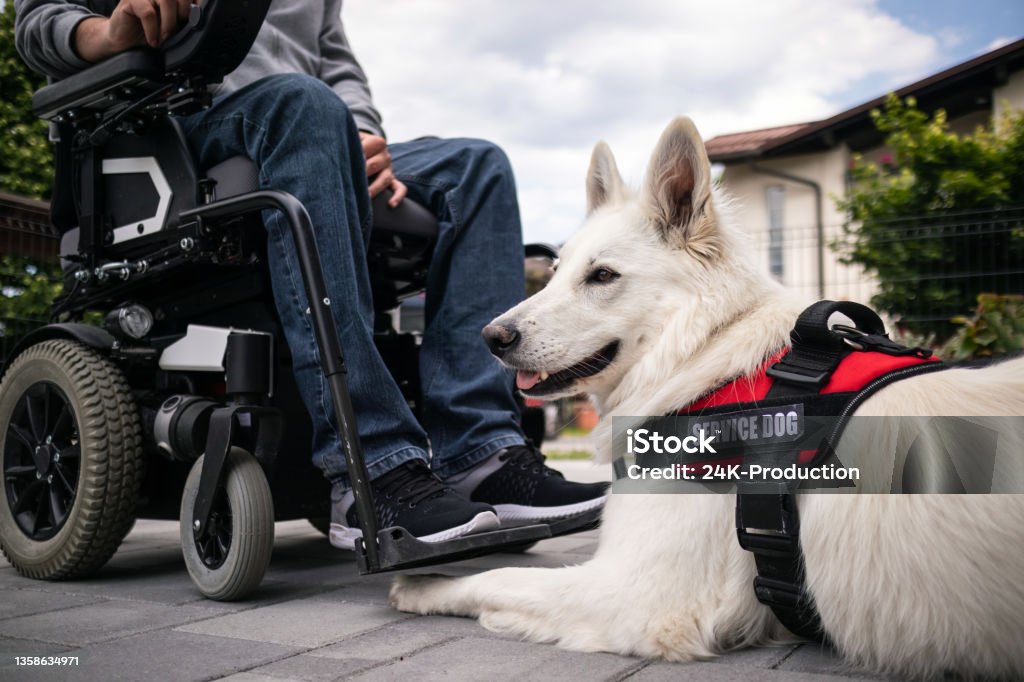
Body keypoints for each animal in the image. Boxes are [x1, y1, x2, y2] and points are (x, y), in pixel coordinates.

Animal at [389, 119, 1024, 675]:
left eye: (602, 276)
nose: (492, 338)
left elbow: (495, 579)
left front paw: (424, 585)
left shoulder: (635, 596)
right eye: (556, 272)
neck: (707, 356)